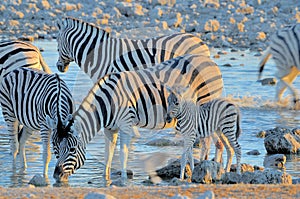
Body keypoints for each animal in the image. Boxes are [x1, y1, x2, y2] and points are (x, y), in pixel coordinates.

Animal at [52, 54, 224, 183]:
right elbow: (109, 154)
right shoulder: (110, 129)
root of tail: (210, 61)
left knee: (210, 142)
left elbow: (123, 153)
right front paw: (105, 179)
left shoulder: (126, 124)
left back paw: (205, 168)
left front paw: (122, 179)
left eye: (72, 150)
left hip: (205, 107)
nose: (56, 175)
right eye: (55, 149)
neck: (107, 102)